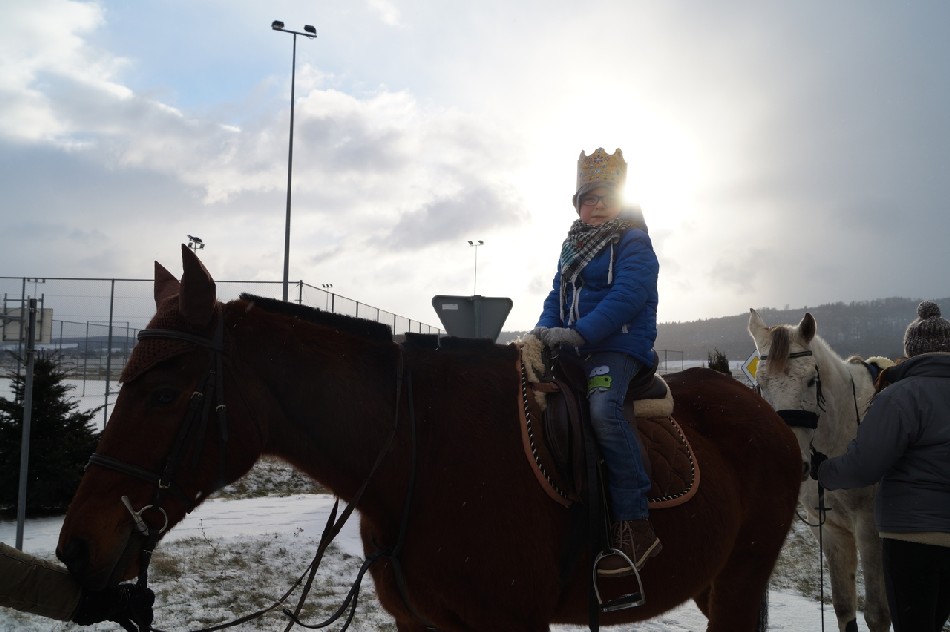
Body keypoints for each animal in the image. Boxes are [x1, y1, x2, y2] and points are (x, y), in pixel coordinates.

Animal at [748, 309, 891, 632]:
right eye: (762, 383)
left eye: (812, 380)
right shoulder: (830, 531)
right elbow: (844, 608)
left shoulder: (870, 531)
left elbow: (877, 615)